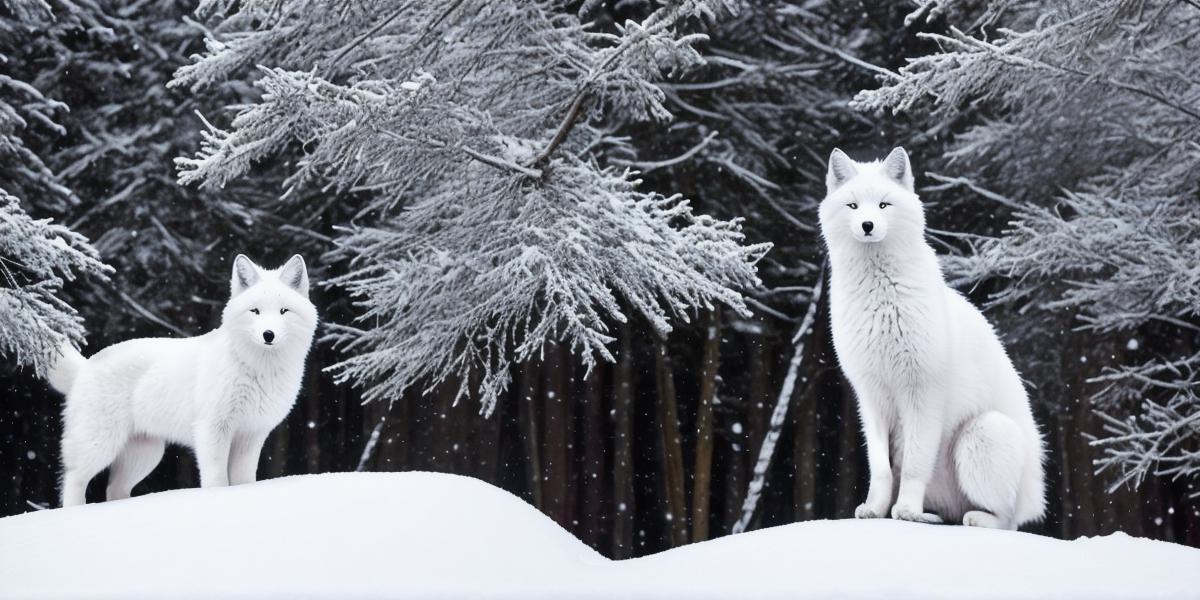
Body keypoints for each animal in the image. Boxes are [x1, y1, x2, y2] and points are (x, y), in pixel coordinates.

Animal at [47, 253, 319, 506]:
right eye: (255, 311)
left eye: (284, 311)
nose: (268, 334)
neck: (257, 368)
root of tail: (85, 366)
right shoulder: (212, 430)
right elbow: (217, 480)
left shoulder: (251, 436)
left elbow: (244, 480)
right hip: (100, 447)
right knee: (73, 480)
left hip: (145, 456)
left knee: (113, 489)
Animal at [820, 147, 1046, 528]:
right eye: (853, 206)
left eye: (883, 205)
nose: (867, 226)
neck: (882, 301)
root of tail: (1037, 495)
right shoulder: (871, 395)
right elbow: (881, 469)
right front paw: (876, 510)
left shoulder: (922, 390)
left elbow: (914, 466)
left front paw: (906, 510)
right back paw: (931, 516)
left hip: (982, 435)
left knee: (1008, 520)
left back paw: (969, 518)